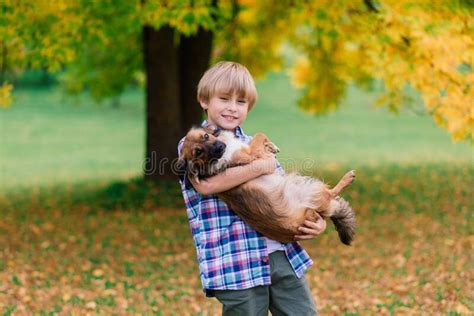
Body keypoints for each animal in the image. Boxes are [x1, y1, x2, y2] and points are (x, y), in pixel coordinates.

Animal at [177, 126, 356, 244]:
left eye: (206, 136)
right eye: (198, 152)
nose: (221, 146)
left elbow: (260, 137)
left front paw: (271, 145)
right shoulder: (253, 156)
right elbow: (258, 135)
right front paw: (271, 146)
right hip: (313, 191)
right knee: (331, 193)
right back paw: (347, 178)